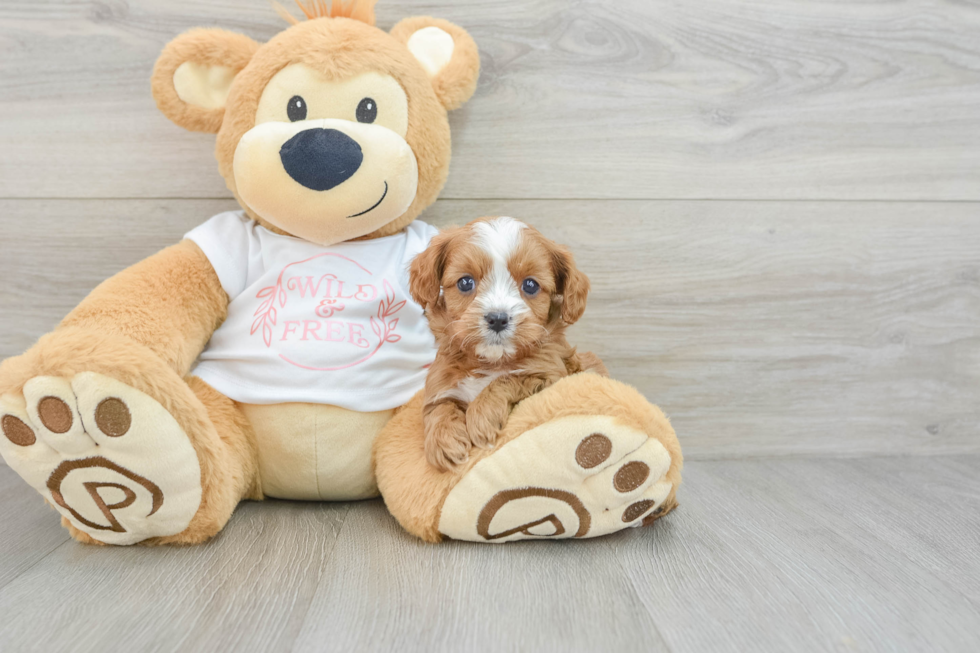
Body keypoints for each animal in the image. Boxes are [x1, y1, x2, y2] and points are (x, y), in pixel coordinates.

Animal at [406, 216, 604, 472]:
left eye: (530, 285)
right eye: (465, 282)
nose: (498, 319)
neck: (491, 361)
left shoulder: (552, 375)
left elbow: (508, 379)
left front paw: (481, 416)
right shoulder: (441, 381)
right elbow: (438, 407)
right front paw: (443, 441)